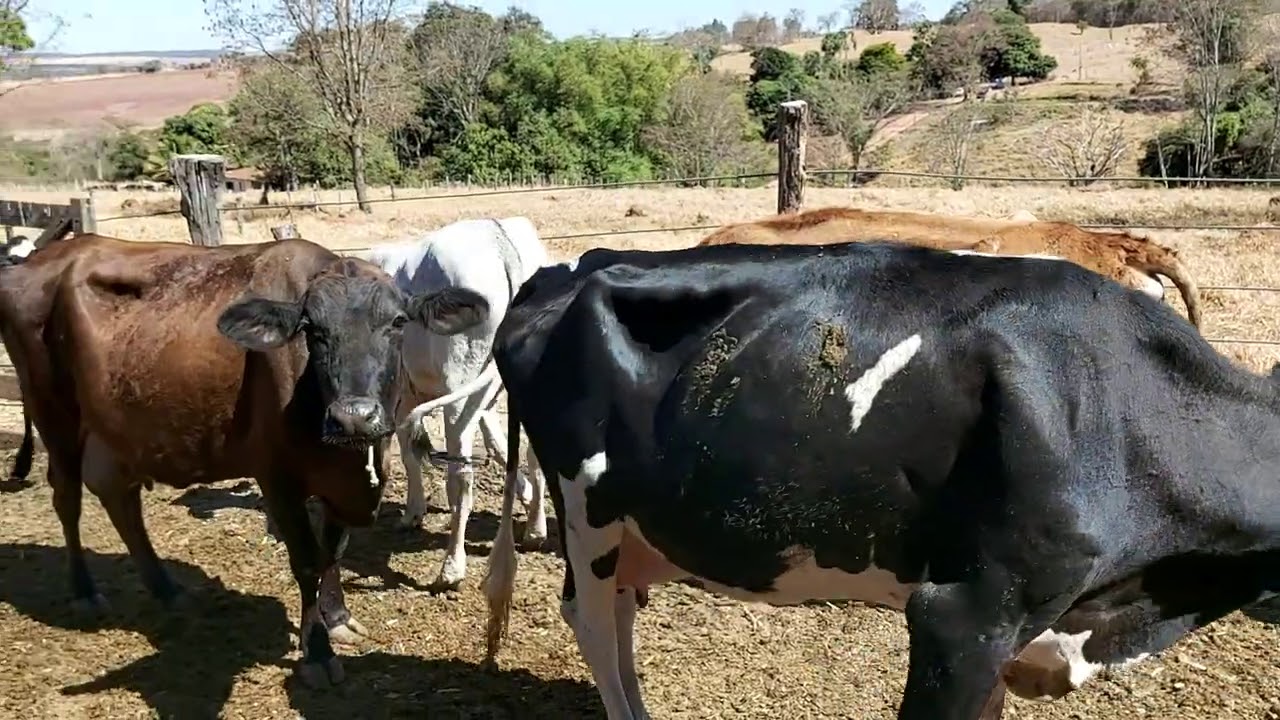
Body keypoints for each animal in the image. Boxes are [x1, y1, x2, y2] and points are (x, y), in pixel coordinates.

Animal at [0, 233, 491, 687]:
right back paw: (85, 591)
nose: (354, 416)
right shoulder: (277, 478)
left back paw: (166, 588)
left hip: (118, 428)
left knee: (119, 496)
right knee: (67, 496)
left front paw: (335, 616)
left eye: (397, 322)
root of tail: (54, 253)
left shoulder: (341, 485)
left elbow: (333, 553)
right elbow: (307, 561)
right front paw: (317, 652)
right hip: (53, 409)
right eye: (311, 329)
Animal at [347, 216, 551, 589]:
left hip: (459, 387)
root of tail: (495, 236)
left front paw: (413, 512)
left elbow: (410, 451)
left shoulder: (402, 398)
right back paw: (534, 531)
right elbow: (500, 447)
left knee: (461, 476)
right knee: (532, 451)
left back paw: (451, 568)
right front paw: (526, 494)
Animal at [481, 240, 1278, 719]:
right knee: (591, 619)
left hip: (633, 521)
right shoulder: (965, 613)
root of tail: (571, 266)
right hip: (586, 505)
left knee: (618, 609)